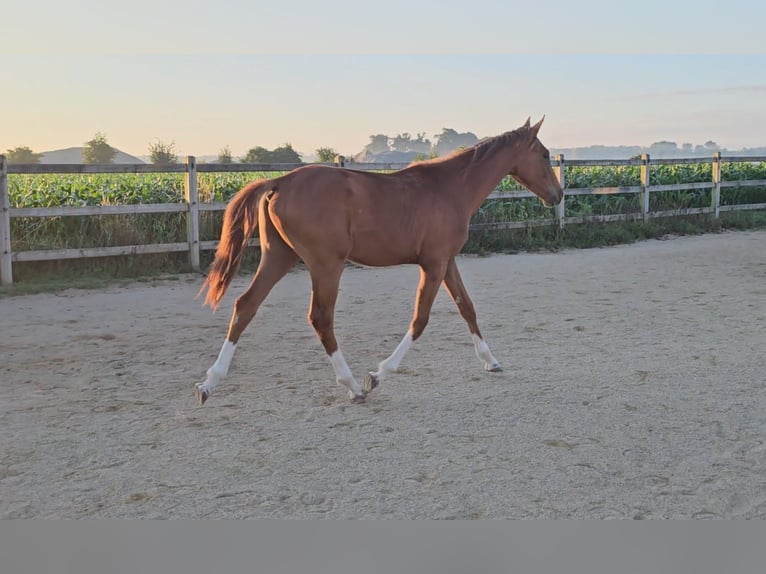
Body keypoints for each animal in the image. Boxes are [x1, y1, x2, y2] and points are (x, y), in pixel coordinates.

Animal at [195, 117, 563, 404]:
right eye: (544, 154)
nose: (558, 195)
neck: (449, 189)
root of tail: (278, 182)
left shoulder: (447, 262)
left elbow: (467, 308)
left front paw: (492, 361)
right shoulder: (433, 265)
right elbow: (420, 320)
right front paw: (378, 375)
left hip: (279, 257)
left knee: (246, 305)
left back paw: (209, 383)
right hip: (326, 265)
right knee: (320, 318)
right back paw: (353, 386)